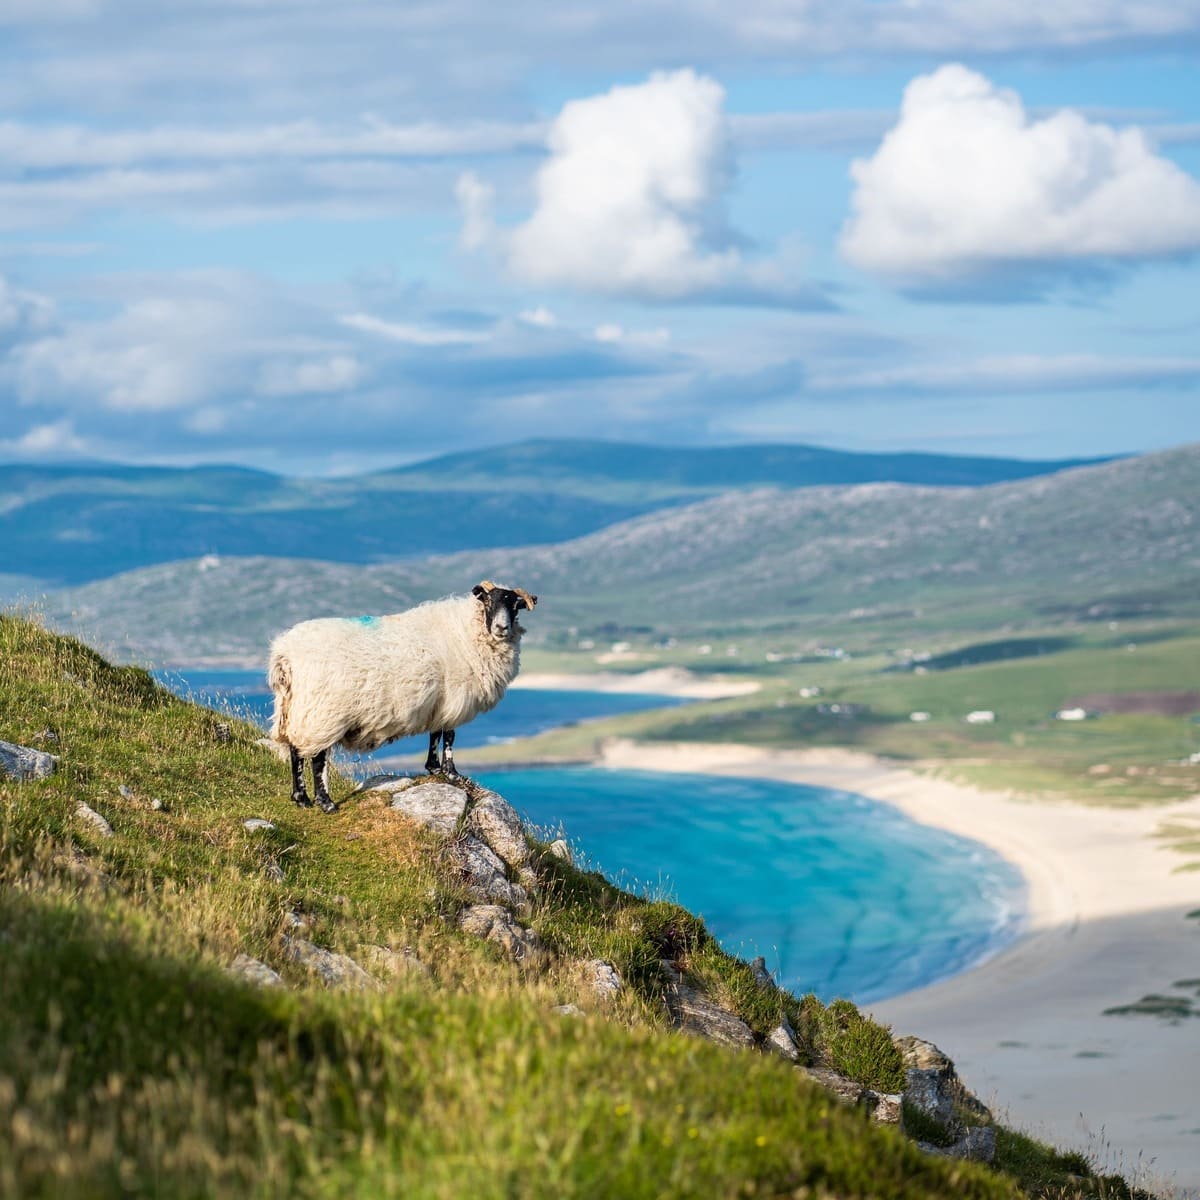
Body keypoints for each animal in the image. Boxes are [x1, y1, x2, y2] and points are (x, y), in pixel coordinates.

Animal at [267, 581, 537, 812]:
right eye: (488, 602)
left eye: (515, 606)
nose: (501, 628)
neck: (468, 630)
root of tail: (285, 654)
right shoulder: (455, 700)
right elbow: (449, 736)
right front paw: (451, 773)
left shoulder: (439, 703)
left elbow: (435, 734)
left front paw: (433, 768)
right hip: (322, 710)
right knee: (317, 757)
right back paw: (326, 802)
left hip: (295, 708)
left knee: (295, 749)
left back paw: (301, 798)